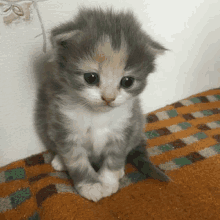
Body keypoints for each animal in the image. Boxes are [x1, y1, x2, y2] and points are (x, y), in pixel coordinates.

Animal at [34, 8, 170, 201]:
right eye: (91, 77)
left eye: (127, 81)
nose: (108, 98)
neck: (98, 115)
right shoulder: (64, 125)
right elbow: (76, 161)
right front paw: (91, 186)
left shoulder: (124, 128)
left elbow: (114, 159)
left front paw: (108, 182)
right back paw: (60, 160)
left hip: (137, 125)